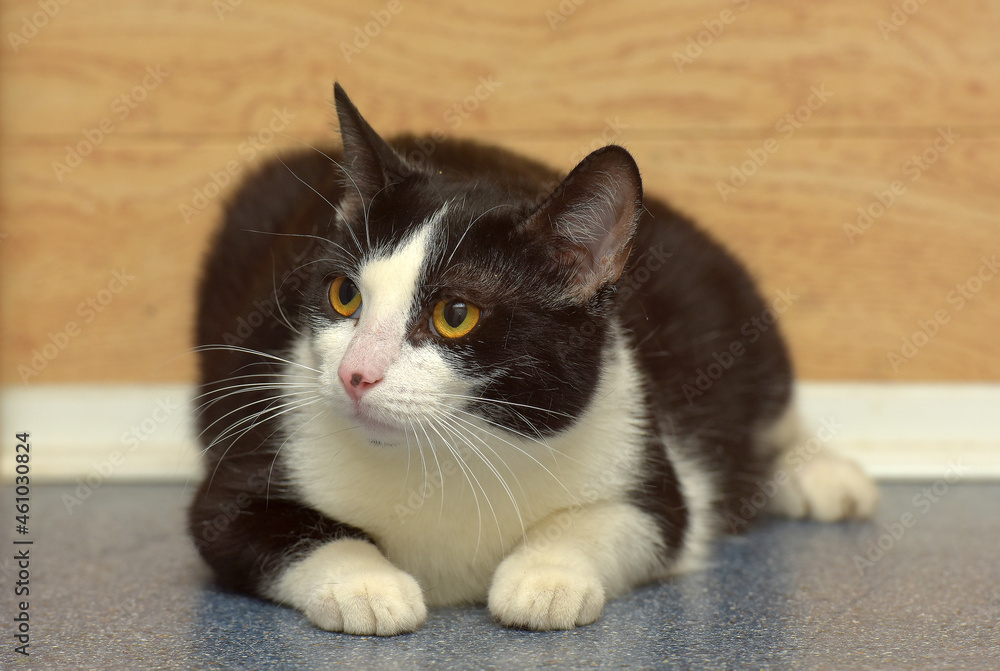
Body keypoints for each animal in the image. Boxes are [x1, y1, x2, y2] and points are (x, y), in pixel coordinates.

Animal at [188, 84, 876, 636]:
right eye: (344, 295)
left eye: (455, 314)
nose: (354, 374)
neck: (443, 458)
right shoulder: (247, 467)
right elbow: (272, 528)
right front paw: (365, 583)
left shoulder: (638, 447)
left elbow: (637, 518)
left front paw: (545, 578)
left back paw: (819, 475)